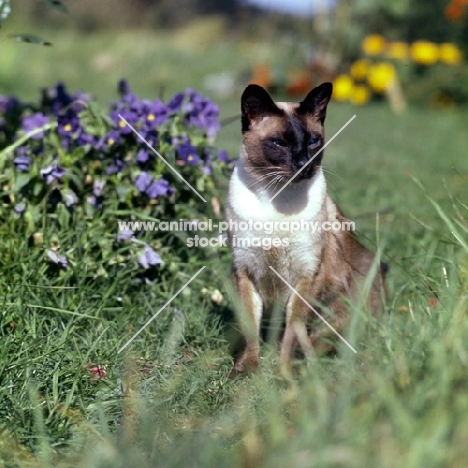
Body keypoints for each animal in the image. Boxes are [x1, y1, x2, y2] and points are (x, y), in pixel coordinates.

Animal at [228, 83, 388, 376]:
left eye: (313, 142)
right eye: (279, 143)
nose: (304, 164)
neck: (276, 200)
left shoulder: (306, 275)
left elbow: (292, 330)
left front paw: (283, 373)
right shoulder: (245, 271)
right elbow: (250, 330)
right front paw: (246, 369)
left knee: (323, 338)